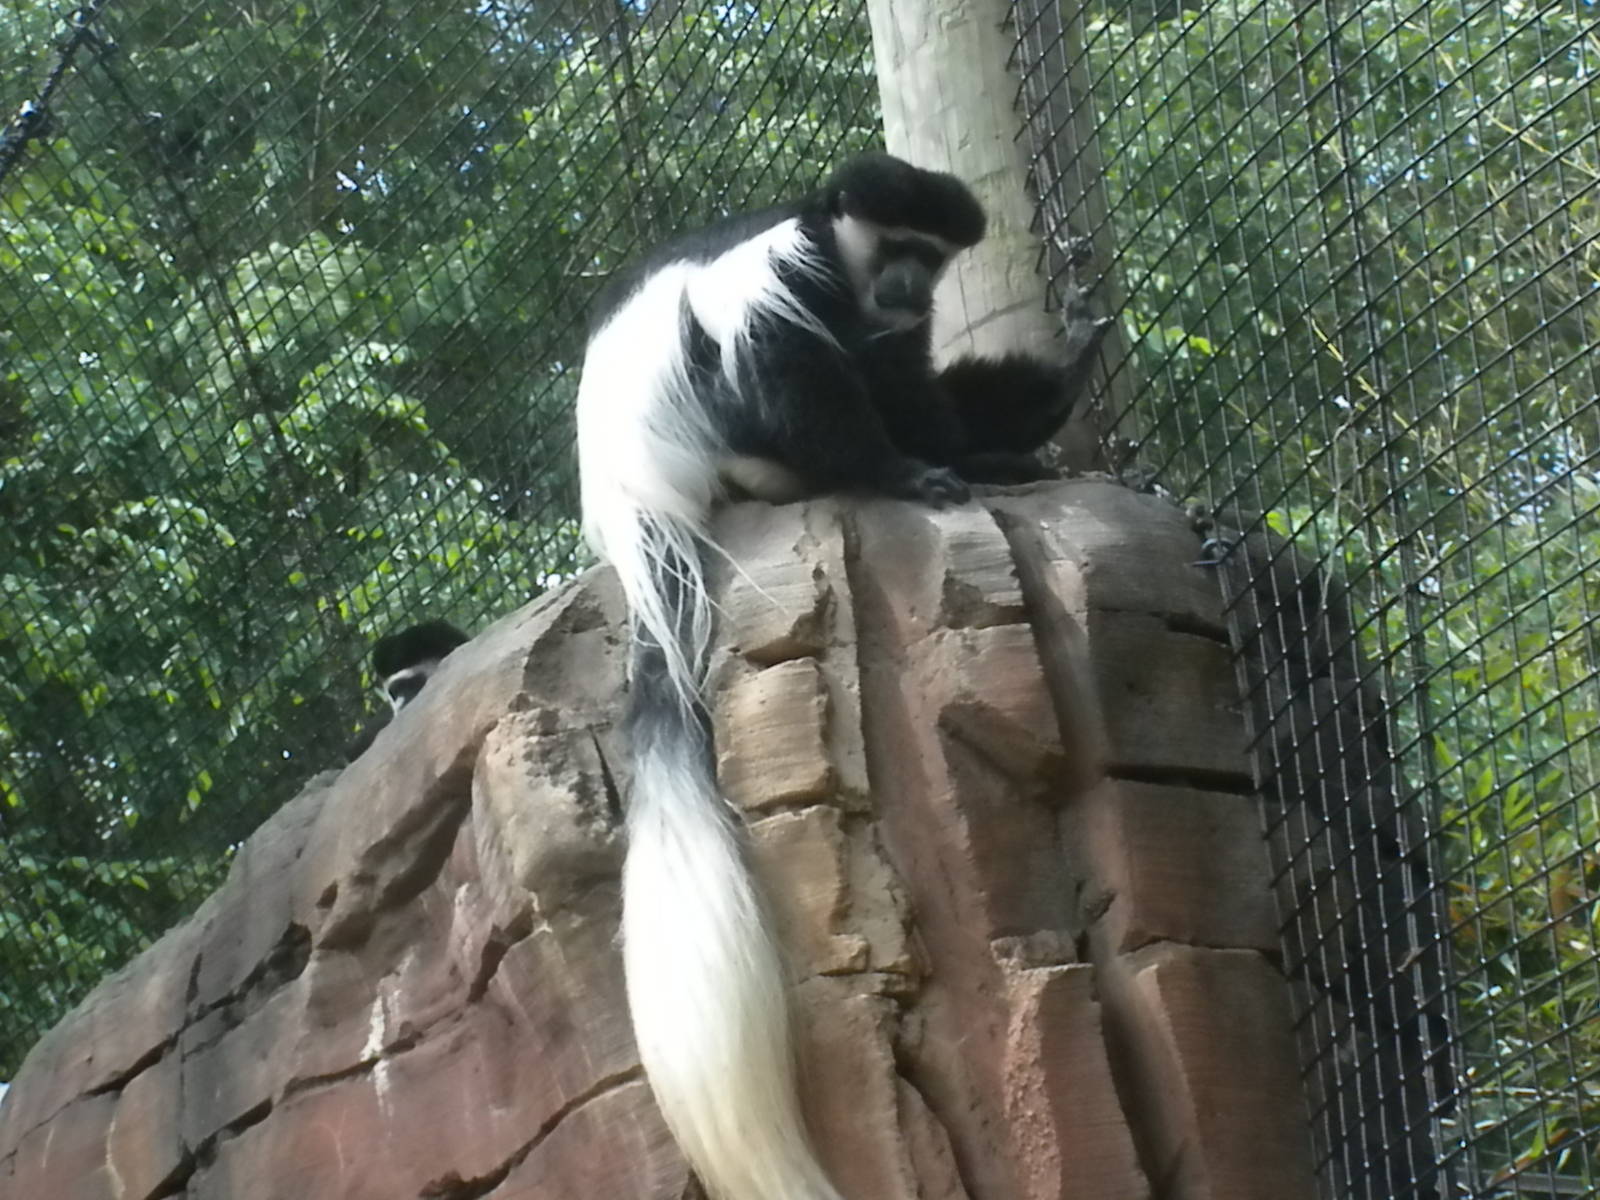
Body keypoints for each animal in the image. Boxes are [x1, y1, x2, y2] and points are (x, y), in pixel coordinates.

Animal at [576, 151, 1109, 1200]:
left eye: (931, 257)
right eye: (895, 244)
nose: (906, 285)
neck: (838, 247)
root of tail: (642, 518)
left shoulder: (899, 322)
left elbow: (904, 371)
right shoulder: (790, 273)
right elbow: (799, 369)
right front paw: (914, 472)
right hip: (726, 436)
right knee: (787, 376)